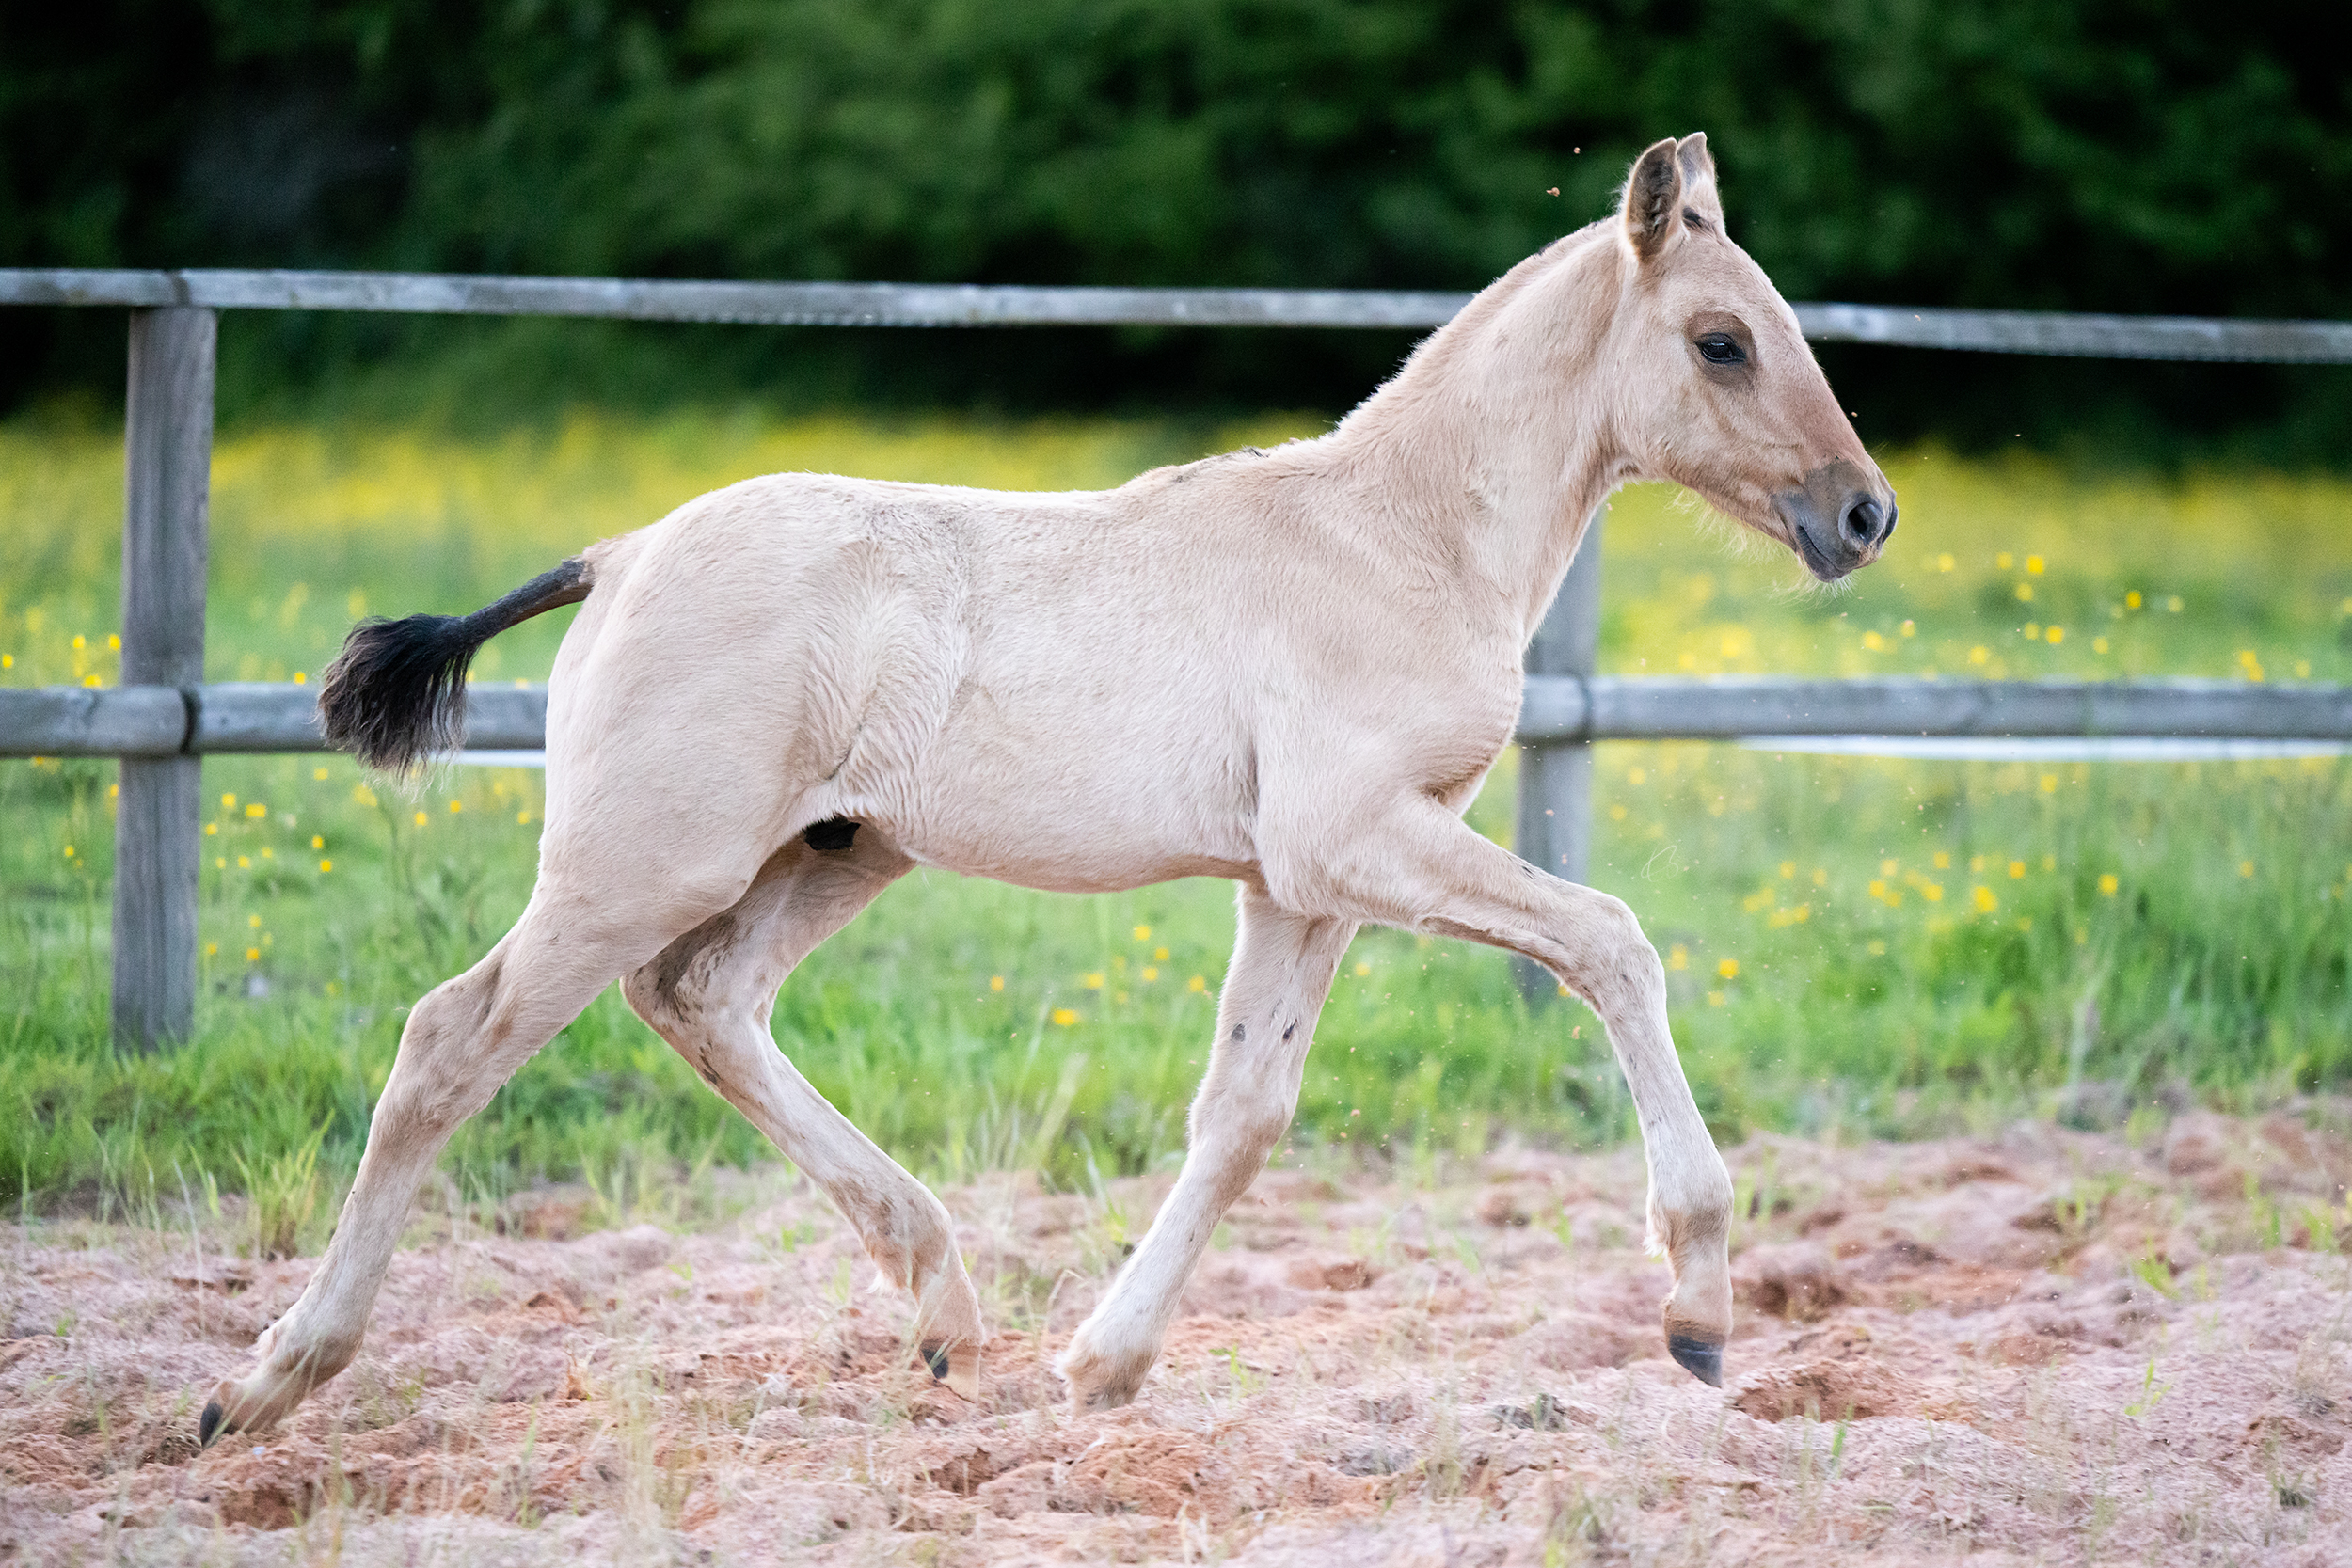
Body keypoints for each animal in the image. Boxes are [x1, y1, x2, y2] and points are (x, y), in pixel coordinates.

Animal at [198, 135, 1891, 1448]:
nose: (1864, 514)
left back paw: (946, 1306)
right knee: (452, 1039)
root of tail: (617, 555)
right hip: (644, 860)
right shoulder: (1359, 840)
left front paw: (1102, 1364)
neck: (1396, 537)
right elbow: (1612, 940)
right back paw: (266, 1381)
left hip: (831, 853)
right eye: (1722, 341)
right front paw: (1698, 1308)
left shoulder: (1304, 884)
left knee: (702, 1001)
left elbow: (1245, 1114)